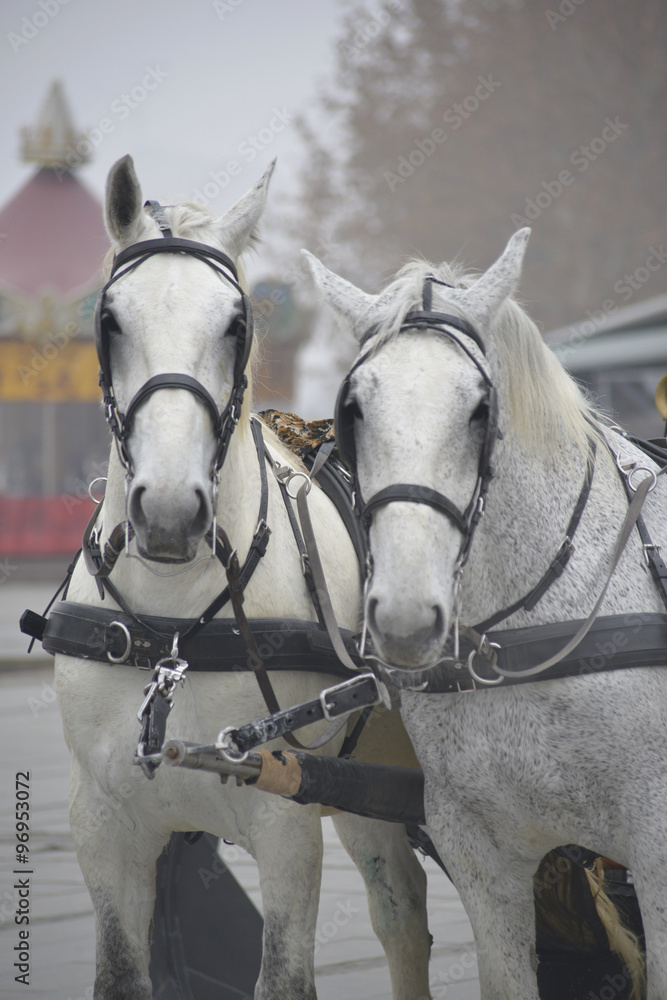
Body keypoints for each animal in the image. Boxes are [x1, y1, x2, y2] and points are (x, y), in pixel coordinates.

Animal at [51, 155, 432, 1000]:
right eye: (109, 320)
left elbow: (283, 976)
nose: (167, 512)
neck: (173, 629)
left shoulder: (285, 814)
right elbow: (122, 973)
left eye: (235, 323)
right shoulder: (104, 827)